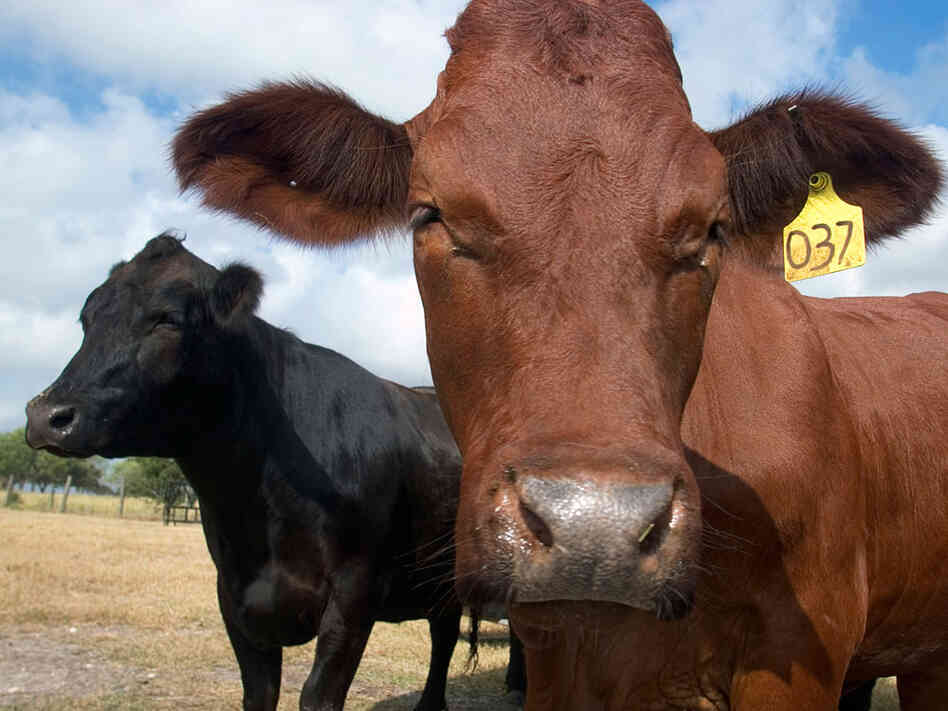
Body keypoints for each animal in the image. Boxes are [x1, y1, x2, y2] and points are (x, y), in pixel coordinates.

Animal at [24, 234, 525, 711]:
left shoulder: (355, 591)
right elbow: (259, 693)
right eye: (87, 318)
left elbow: (319, 695)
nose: (46, 415)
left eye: (166, 319)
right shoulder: (233, 593)